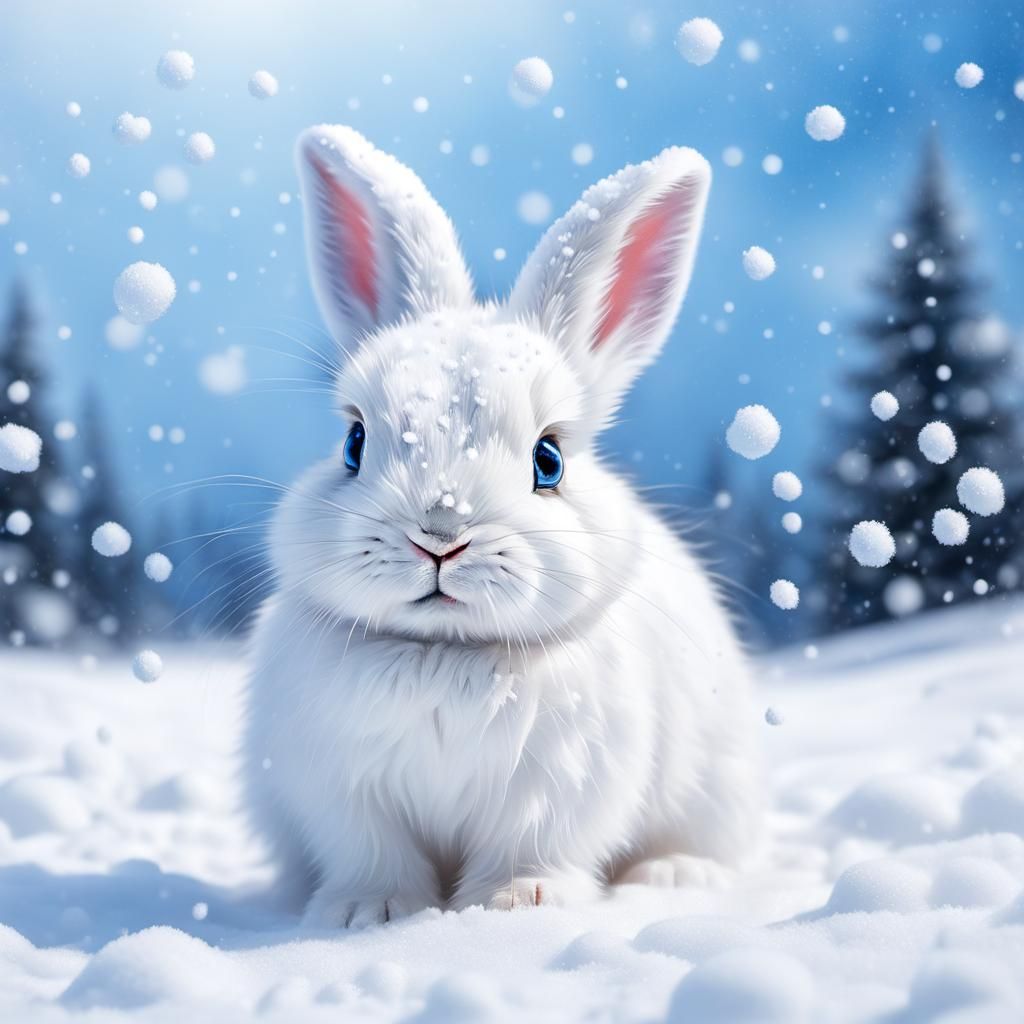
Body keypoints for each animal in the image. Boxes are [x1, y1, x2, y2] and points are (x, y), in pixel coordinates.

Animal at [243, 123, 762, 928]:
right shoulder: (343, 796)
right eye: (354, 443)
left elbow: (531, 851)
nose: (439, 535)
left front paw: (517, 905)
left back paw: (676, 877)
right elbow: (374, 854)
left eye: (548, 460)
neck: (445, 655)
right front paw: (371, 912)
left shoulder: (556, 794)